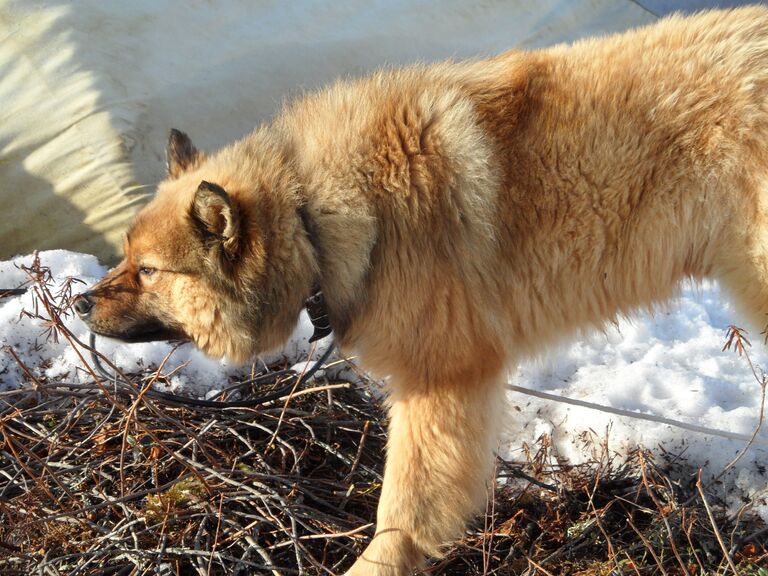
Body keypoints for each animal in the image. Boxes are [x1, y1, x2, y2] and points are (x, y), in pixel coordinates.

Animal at [75, 6, 768, 572]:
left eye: (149, 271)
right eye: (127, 257)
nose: (81, 301)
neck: (314, 213)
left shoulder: (443, 381)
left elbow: (404, 512)